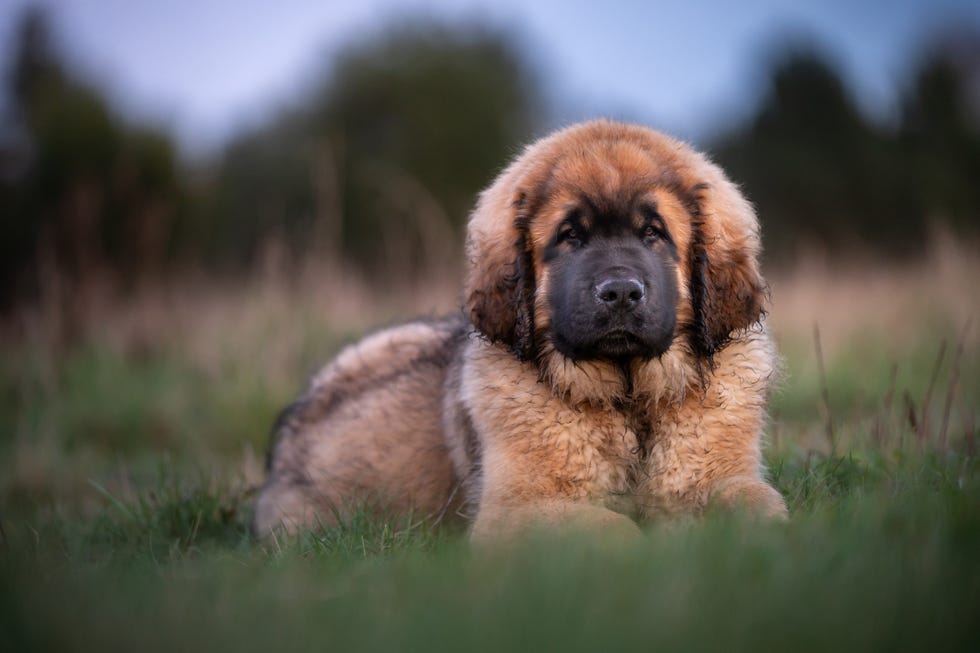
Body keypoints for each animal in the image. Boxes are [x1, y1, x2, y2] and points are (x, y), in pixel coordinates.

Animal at [255, 121, 788, 540]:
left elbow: (761, 504)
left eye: (653, 233)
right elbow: (612, 527)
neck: (629, 400)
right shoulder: (516, 510)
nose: (619, 292)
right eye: (570, 237)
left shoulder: (720, 476)